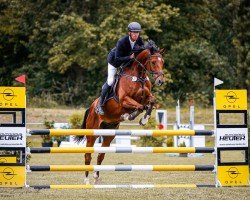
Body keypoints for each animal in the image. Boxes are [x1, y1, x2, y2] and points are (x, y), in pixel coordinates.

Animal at [75, 44, 165, 184]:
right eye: (154, 62)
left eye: (163, 62)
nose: (160, 81)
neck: (138, 76)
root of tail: (91, 107)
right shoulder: (124, 100)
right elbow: (139, 107)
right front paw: (129, 116)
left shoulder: (146, 97)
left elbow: (151, 102)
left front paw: (144, 119)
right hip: (92, 133)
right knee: (88, 155)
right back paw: (86, 180)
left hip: (109, 134)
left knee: (101, 155)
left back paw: (96, 177)